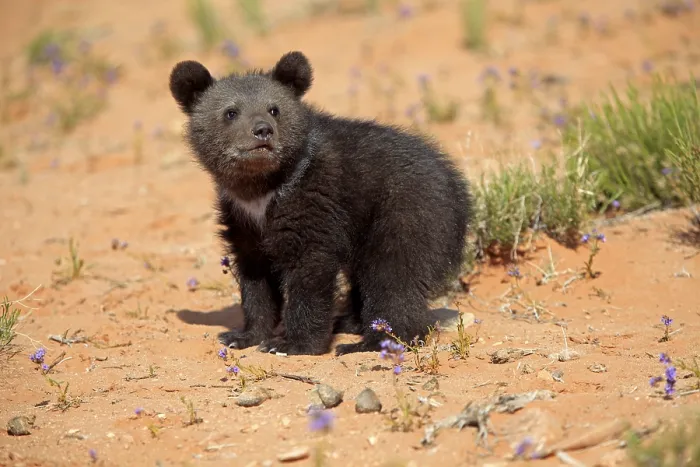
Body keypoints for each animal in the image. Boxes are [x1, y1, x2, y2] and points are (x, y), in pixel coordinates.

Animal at [169, 51, 472, 356]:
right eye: (230, 112)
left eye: (274, 109)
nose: (263, 131)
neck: (263, 188)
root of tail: (459, 191)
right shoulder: (243, 223)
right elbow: (255, 278)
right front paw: (243, 335)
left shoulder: (315, 201)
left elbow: (310, 270)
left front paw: (292, 343)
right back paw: (350, 322)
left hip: (408, 212)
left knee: (394, 275)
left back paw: (372, 341)